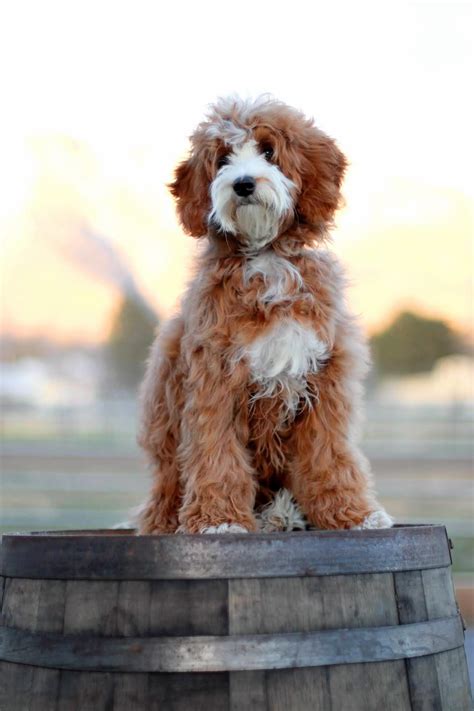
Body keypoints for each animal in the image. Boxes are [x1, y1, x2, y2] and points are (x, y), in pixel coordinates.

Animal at [137, 94, 392, 536]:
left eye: (269, 151)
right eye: (223, 158)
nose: (242, 183)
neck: (267, 256)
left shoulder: (325, 379)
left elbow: (329, 454)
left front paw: (352, 514)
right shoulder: (214, 377)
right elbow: (216, 451)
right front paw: (219, 521)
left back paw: (281, 514)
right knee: (167, 491)